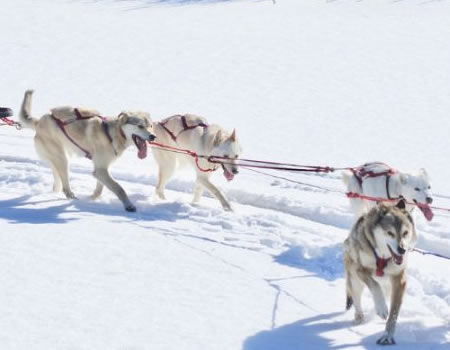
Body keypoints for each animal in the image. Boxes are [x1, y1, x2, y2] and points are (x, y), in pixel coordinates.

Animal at [18, 89, 156, 211]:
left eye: (150, 125)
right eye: (140, 126)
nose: (153, 136)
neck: (112, 134)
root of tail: (39, 121)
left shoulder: (101, 170)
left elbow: (100, 188)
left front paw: (92, 198)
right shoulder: (100, 170)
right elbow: (119, 188)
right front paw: (129, 205)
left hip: (57, 159)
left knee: (57, 180)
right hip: (62, 159)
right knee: (65, 185)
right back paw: (71, 196)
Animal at [344, 201, 418, 346]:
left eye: (405, 233)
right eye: (390, 233)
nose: (402, 250)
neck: (383, 257)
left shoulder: (399, 280)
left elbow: (394, 313)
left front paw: (387, 336)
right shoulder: (360, 270)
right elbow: (375, 285)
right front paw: (382, 308)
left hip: (388, 287)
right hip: (355, 278)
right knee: (356, 297)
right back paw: (359, 316)